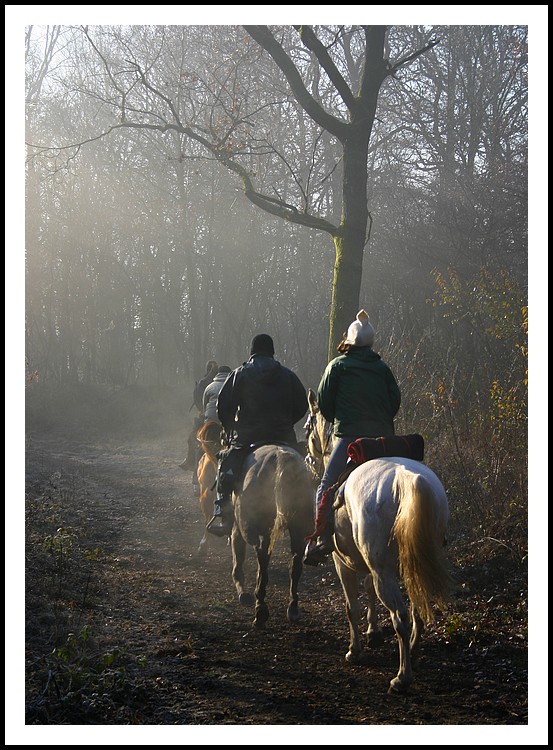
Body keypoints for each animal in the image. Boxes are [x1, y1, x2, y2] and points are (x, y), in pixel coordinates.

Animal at [230, 443, 314, 629]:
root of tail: (280, 456)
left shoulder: (240, 526)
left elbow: (239, 555)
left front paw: (242, 590)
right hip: (298, 529)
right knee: (295, 563)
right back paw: (293, 607)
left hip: (254, 527)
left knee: (262, 558)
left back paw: (260, 608)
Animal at [305, 388, 452, 693]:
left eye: (308, 427)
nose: (309, 459)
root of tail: (408, 479)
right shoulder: (367, 563)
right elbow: (368, 590)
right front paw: (373, 632)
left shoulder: (342, 562)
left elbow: (352, 606)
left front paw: (355, 650)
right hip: (410, 564)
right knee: (417, 608)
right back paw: (414, 652)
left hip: (384, 570)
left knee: (401, 616)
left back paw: (402, 676)